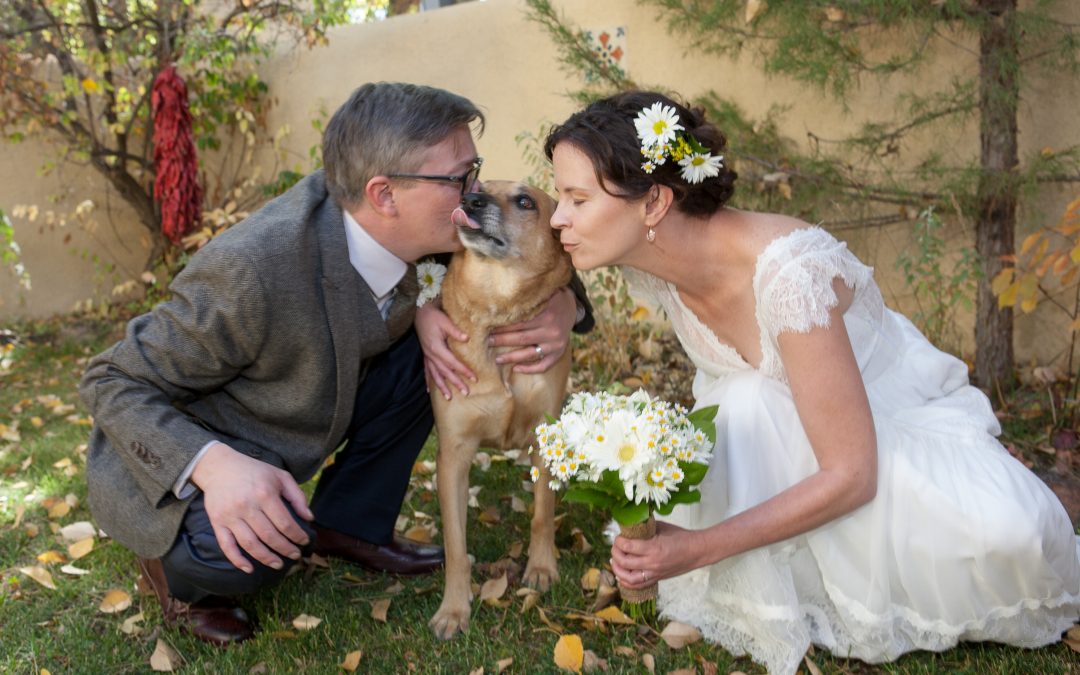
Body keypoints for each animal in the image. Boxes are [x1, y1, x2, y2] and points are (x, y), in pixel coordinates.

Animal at [427, 179, 574, 635]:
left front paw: (542, 568)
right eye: (476, 186)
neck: (500, 313)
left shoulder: (546, 439)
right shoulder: (454, 454)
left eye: (526, 201)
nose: (469, 201)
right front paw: (453, 609)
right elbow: (456, 546)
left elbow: (543, 514)